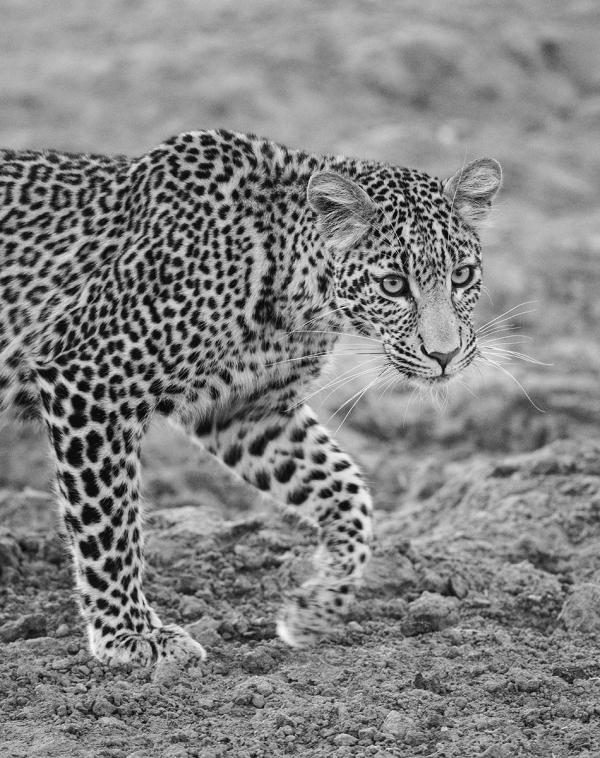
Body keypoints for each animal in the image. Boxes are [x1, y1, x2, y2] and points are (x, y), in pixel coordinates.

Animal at [0, 129, 501, 666]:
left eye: (462, 276)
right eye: (393, 285)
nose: (445, 355)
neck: (297, 296)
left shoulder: (247, 412)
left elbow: (348, 490)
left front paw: (315, 609)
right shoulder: (90, 382)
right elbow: (108, 523)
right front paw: (130, 635)